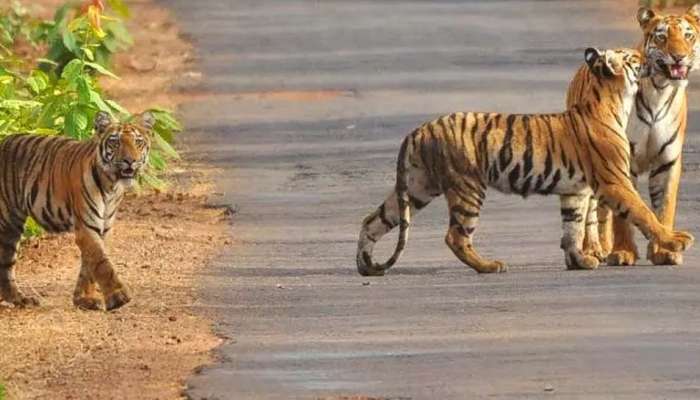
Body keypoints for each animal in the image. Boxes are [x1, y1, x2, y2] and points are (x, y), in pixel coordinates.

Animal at [0, 111, 153, 310]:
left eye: (138, 142)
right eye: (115, 142)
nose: (130, 161)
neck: (111, 186)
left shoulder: (103, 227)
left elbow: (89, 264)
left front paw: (85, 299)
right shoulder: (86, 226)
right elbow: (101, 262)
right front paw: (118, 297)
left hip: (12, 228)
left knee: (6, 264)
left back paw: (20, 299)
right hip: (5, 219)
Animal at [358, 47, 696, 276]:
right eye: (633, 57)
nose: (649, 55)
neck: (613, 101)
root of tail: (418, 130)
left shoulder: (575, 191)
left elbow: (572, 227)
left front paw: (579, 261)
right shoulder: (615, 182)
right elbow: (643, 213)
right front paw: (676, 241)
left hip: (418, 187)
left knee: (373, 220)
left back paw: (366, 265)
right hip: (467, 186)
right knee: (456, 236)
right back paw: (489, 265)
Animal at [568, 4, 700, 268]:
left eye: (688, 36)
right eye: (662, 37)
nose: (679, 56)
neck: (660, 90)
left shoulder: (668, 161)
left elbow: (664, 207)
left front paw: (664, 252)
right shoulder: (622, 160)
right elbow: (623, 215)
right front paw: (623, 252)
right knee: (591, 211)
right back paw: (593, 250)